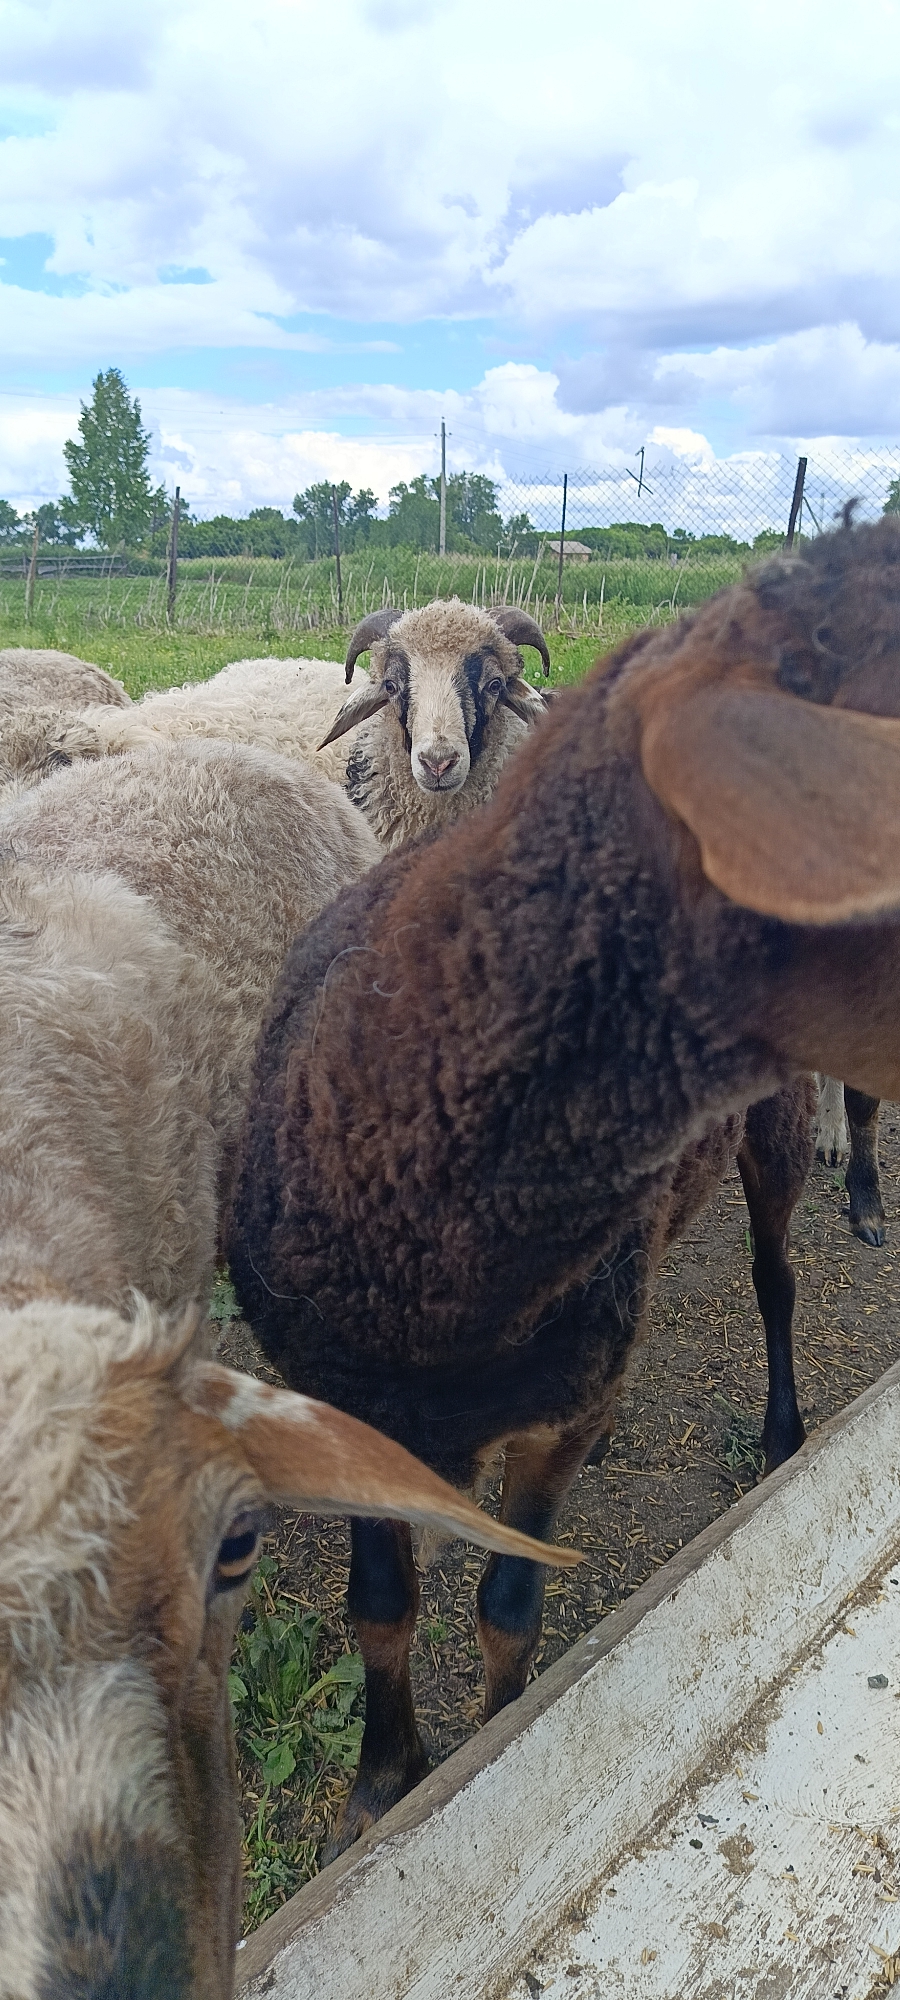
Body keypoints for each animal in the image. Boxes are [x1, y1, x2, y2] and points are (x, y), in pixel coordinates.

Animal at [227, 515, 900, 1854]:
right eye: (394, 685)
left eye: (494, 683)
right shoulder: (346, 1398)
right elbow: (378, 1599)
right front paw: (383, 1777)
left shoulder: (547, 1423)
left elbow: (507, 1609)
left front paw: (490, 1757)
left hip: (771, 1138)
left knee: (776, 1279)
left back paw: (784, 1422)